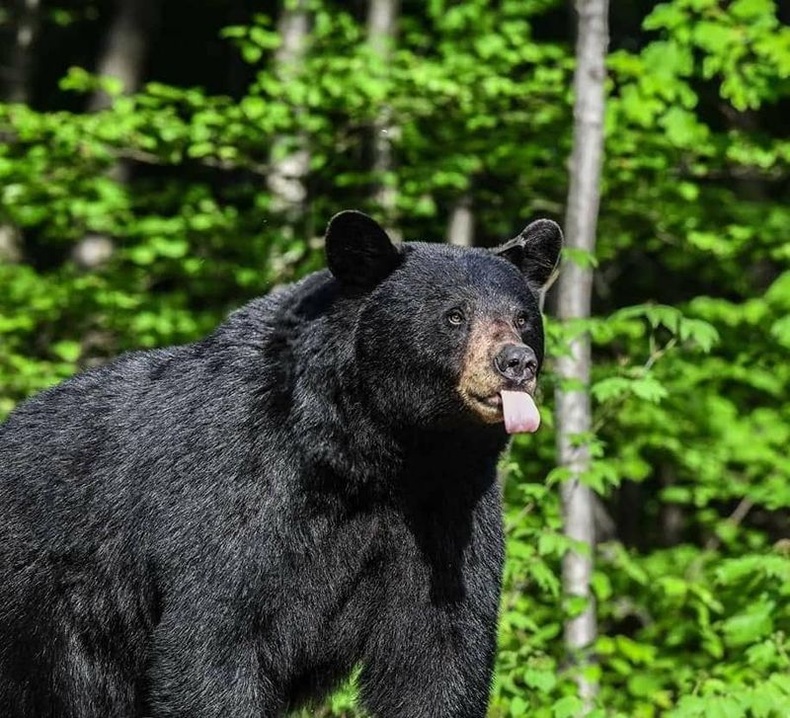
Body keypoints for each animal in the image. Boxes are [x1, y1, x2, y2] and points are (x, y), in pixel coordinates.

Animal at [0, 211, 564, 716]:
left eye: (522, 317)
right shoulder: (239, 483)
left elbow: (440, 648)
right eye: (453, 315)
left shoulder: (447, 506)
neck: (374, 453)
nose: (516, 363)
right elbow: (215, 638)